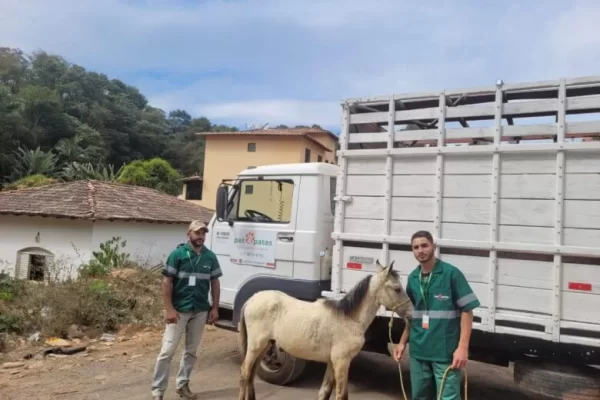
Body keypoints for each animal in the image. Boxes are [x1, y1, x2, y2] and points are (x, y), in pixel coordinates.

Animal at [237, 260, 414, 400]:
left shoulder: (331, 362)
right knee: (244, 373)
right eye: (397, 289)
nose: (412, 314)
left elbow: (325, 392)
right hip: (256, 346)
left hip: (265, 346)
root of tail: (251, 300)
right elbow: (342, 395)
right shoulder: (342, 362)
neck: (350, 318)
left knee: (250, 375)